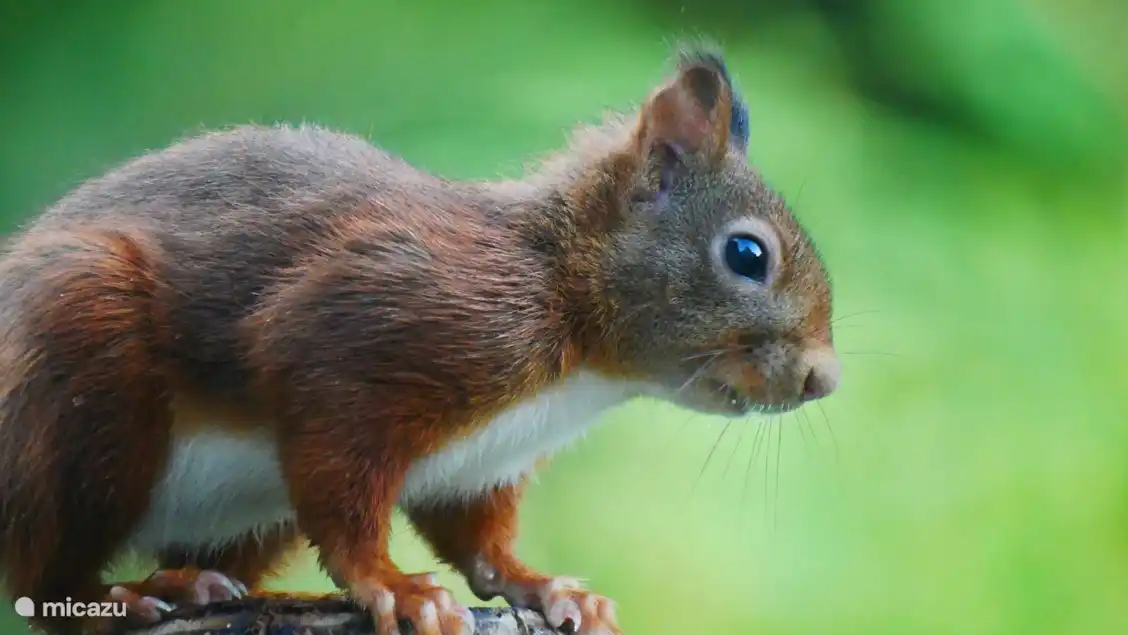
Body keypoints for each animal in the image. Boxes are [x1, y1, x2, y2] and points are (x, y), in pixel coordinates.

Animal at [0, 46, 840, 635]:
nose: (823, 379)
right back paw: (132, 591)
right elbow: (343, 496)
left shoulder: (482, 460)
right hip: (83, 370)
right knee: (42, 579)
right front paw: (393, 584)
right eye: (747, 254)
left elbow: (480, 543)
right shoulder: (361, 335)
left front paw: (547, 584)